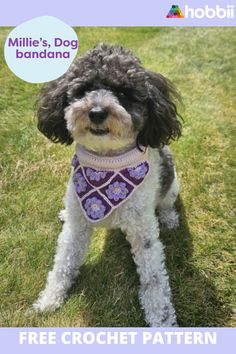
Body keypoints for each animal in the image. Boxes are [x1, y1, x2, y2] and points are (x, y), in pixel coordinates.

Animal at [33, 43, 182, 326]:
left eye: (123, 92)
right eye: (82, 90)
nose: (96, 112)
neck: (106, 165)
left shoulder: (143, 231)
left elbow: (154, 279)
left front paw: (162, 319)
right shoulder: (77, 226)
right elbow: (63, 263)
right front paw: (48, 299)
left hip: (172, 182)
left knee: (167, 203)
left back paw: (169, 218)